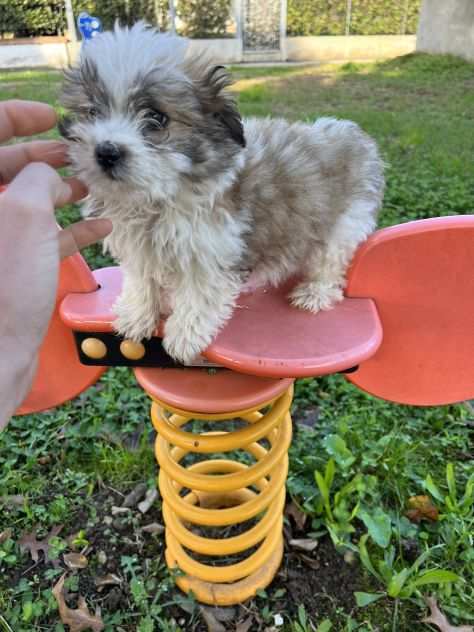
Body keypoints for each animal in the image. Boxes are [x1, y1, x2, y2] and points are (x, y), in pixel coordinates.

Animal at [59, 23, 386, 366]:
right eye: (92, 111)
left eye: (157, 117)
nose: (106, 152)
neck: (159, 197)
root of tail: (354, 136)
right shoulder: (140, 248)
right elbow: (141, 280)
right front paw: (137, 315)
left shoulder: (210, 251)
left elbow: (199, 294)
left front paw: (184, 335)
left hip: (344, 225)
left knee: (329, 264)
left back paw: (315, 293)